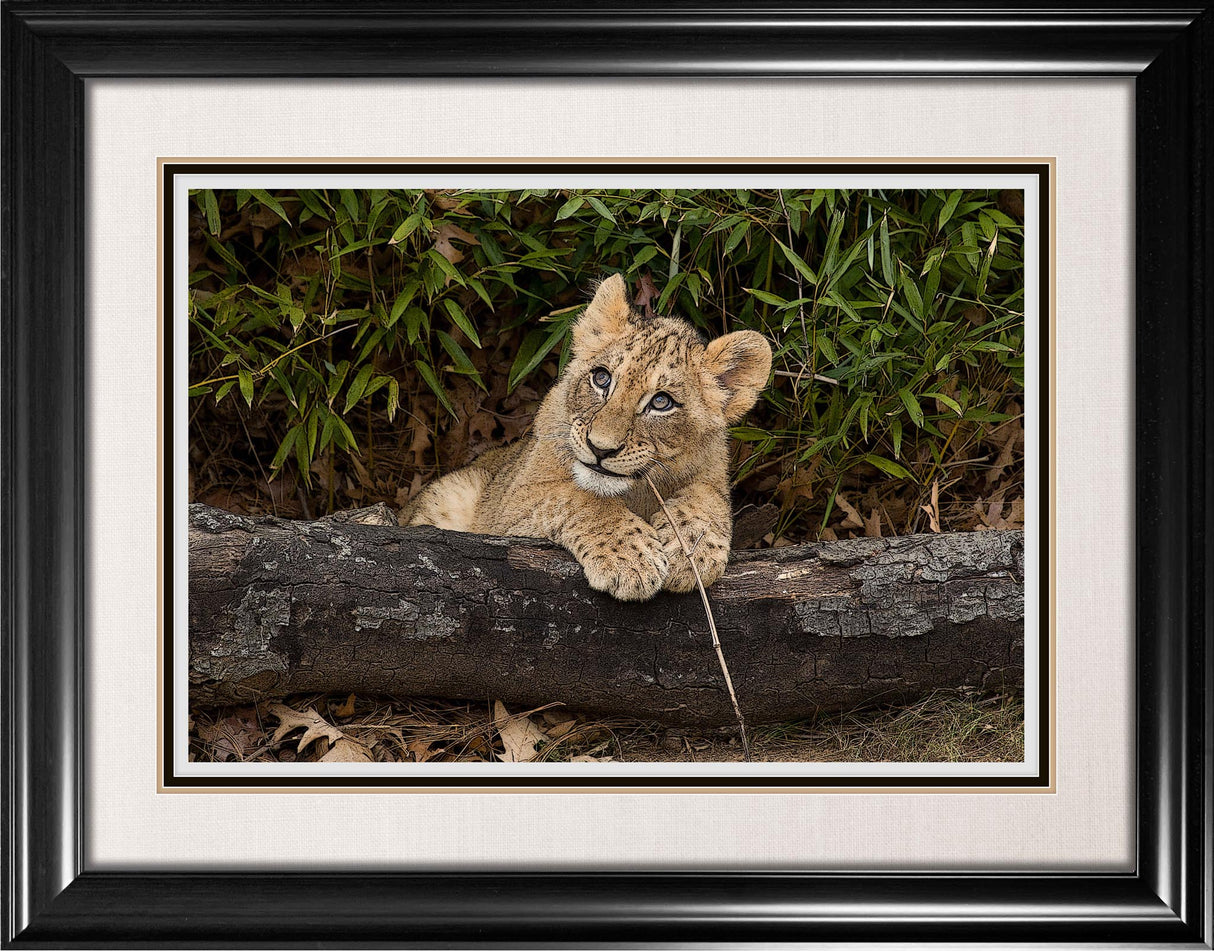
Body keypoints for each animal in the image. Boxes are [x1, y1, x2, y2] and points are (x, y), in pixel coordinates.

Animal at [404, 273, 772, 601]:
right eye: (601, 378)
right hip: (455, 490)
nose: (600, 448)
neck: (634, 492)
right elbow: (576, 498)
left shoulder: (712, 473)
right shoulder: (510, 505)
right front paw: (631, 559)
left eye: (661, 402)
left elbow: (709, 501)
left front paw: (692, 550)